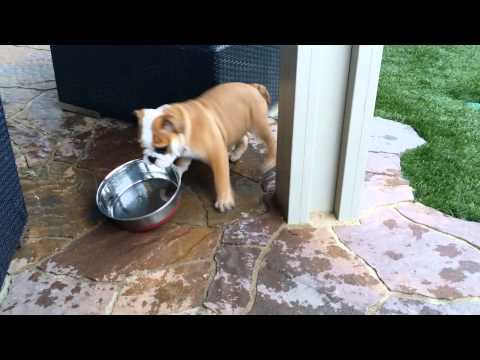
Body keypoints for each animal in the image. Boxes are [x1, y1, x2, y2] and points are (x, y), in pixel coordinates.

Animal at [135, 82, 278, 211]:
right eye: (143, 147)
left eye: (162, 148)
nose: (151, 158)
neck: (187, 127)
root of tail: (253, 86)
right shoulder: (186, 154)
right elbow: (182, 164)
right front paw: (177, 172)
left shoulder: (217, 154)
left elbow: (221, 179)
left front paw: (224, 200)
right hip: (237, 125)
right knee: (244, 138)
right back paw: (236, 154)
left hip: (258, 125)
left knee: (271, 140)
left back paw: (270, 161)